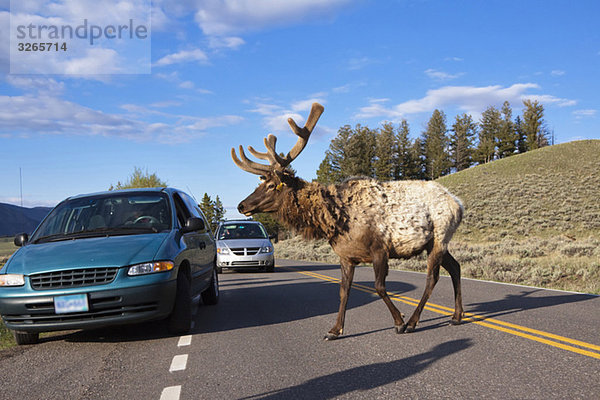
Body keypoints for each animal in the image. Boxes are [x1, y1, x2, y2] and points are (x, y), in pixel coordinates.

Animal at [231, 103, 464, 340]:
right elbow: (344, 291)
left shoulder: (380, 249)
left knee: (432, 278)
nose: (241, 205)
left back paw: (414, 322)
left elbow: (379, 287)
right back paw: (456, 316)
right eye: (260, 183)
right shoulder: (346, 256)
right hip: (433, 243)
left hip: (439, 238)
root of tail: (458, 203)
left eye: (271, 185)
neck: (334, 221)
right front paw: (335, 330)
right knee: (455, 267)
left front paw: (399, 321)